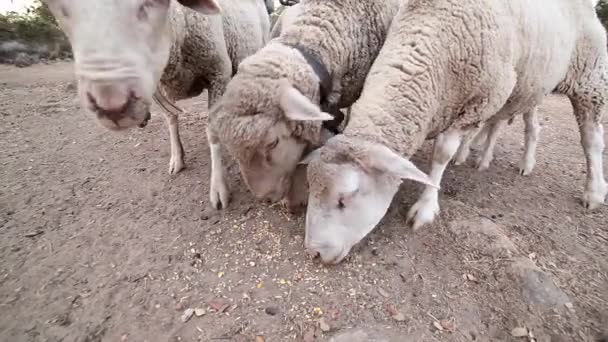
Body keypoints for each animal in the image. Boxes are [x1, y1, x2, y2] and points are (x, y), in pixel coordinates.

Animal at [43, 0, 270, 210]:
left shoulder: (217, 73)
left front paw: (218, 186)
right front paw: (177, 158)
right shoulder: (158, 87)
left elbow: (212, 134)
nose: (112, 104)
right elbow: (171, 121)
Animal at [290, 0, 608, 264]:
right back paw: (493, 159)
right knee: (518, 125)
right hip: (529, 87)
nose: (314, 252)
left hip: (589, 78)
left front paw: (426, 207)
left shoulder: (480, 98)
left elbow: (441, 153)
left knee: (590, 139)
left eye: (344, 200)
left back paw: (592, 191)